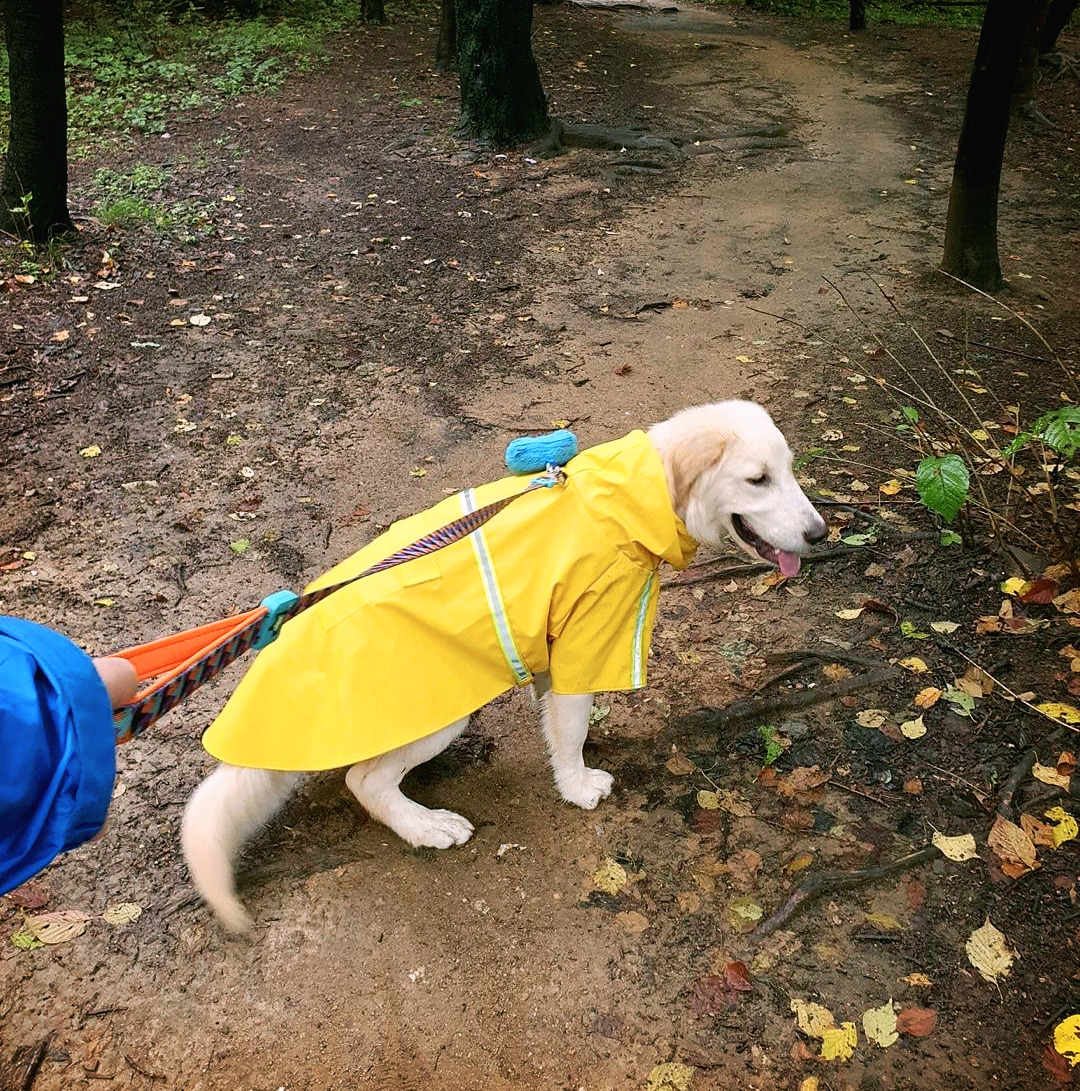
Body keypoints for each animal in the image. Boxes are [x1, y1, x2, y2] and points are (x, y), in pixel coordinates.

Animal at [182, 401, 824, 929]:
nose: (820, 533)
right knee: (363, 781)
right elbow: (571, 727)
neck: (629, 500)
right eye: (757, 479)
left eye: (790, 470)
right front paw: (577, 785)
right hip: (444, 714)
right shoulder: (584, 639)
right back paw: (426, 825)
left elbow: (559, 718)